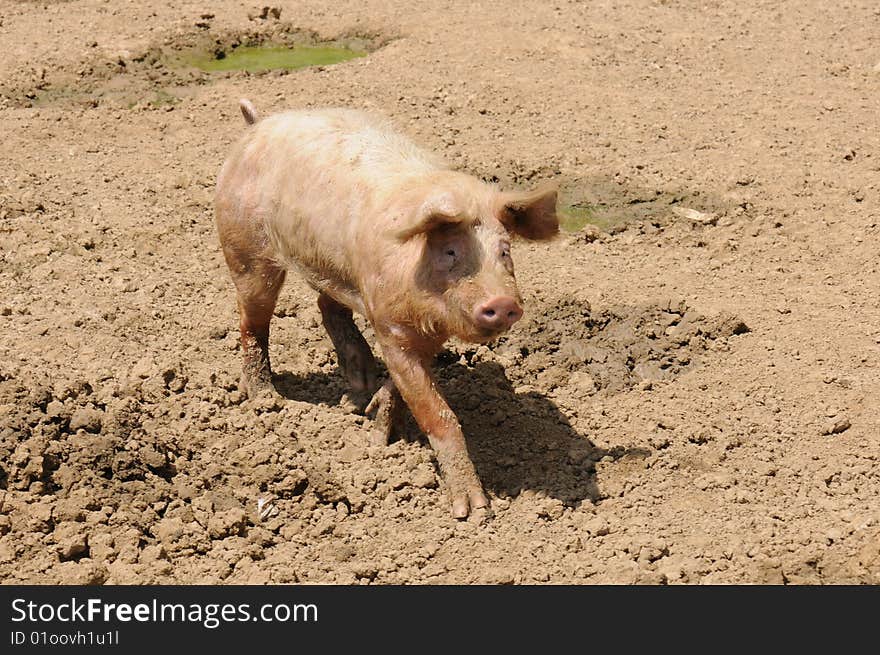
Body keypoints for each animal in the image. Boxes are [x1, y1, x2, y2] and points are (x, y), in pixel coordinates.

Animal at [214, 98, 556, 516]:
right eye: (450, 252)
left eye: (504, 251)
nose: (503, 302)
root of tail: (256, 124)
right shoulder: (392, 327)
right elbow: (438, 414)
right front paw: (473, 511)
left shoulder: (421, 334)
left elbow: (404, 386)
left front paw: (375, 426)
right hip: (245, 249)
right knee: (253, 322)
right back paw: (265, 399)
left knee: (326, 303)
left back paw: (357, 386)